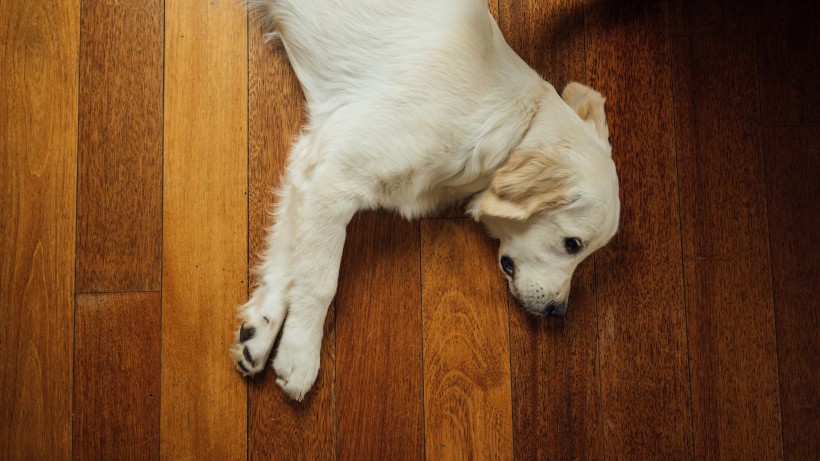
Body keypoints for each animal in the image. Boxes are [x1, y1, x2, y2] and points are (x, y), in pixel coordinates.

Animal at [229, 0, 616, 398]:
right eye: (572, 244)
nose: (558, 310)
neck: (513, 127)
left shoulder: (309, 165)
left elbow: (285, 265)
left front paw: (259, 334)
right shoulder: (335, 180)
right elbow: (319, 281)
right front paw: (300, 355)